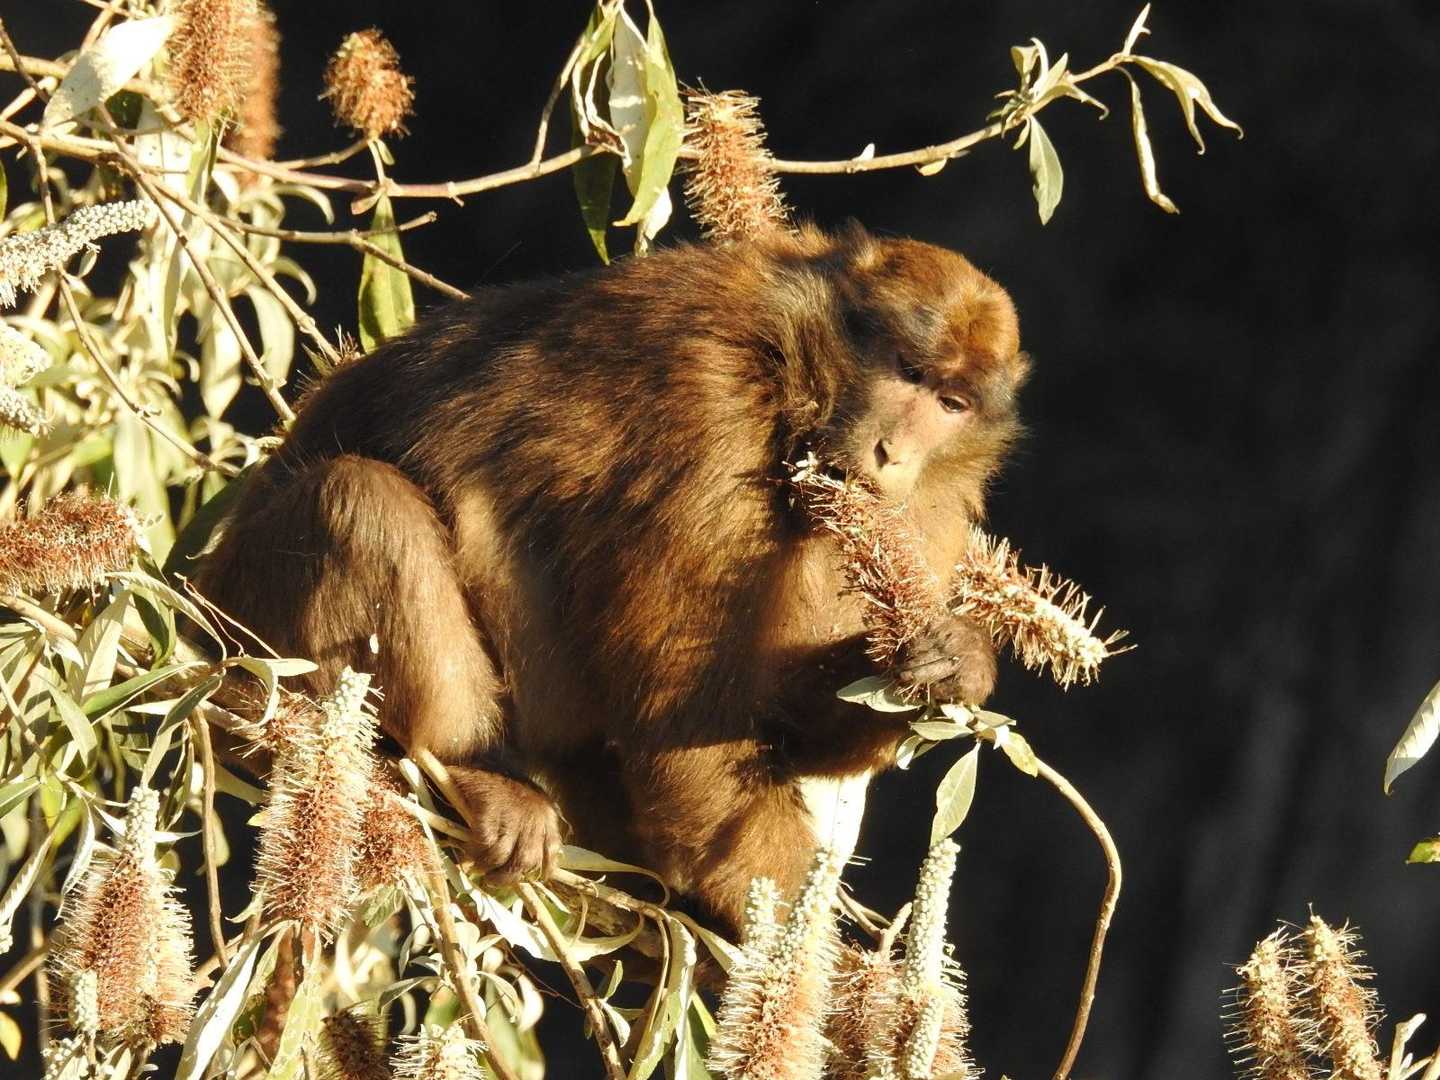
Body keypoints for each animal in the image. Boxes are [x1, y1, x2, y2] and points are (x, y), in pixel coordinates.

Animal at [196, 222, 1028, 932]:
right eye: (908, 374)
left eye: (952, 403)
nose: (894, 452)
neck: (793, 373)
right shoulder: (710, 410)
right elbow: (683, 730)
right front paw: (813, 971)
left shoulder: (922, 515)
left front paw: (950, 661)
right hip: (257, 617)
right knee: (363, 500)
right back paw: (470, 769)